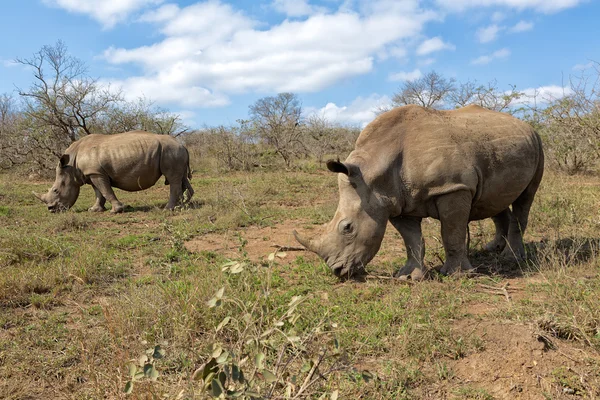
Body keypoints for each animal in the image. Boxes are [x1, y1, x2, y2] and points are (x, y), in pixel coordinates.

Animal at [34, 130, 195, 212]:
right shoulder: (93, 173)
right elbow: (99, 193)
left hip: (170, 151)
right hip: (173, 151)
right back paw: (182, 205)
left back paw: (168, 209)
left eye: (55, 190)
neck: (72, 165)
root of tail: (182, 144)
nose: (50, 209)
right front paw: (95, 210)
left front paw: (116, 210)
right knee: (180, 178)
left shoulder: (96, 173)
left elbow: (106, 191)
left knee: (172, 178)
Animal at [294, 106, 544, 282]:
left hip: (538, 144)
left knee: (525, 198)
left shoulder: (453, 187)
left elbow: (451, 233)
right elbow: (411, 239)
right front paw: (407, 276)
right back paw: (493, 249)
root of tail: (527, 125)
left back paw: (511, 258)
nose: (337, 270)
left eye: (347, 228)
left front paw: (456, 275)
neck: (373, 169)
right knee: (494, 200)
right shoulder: (396, 202)